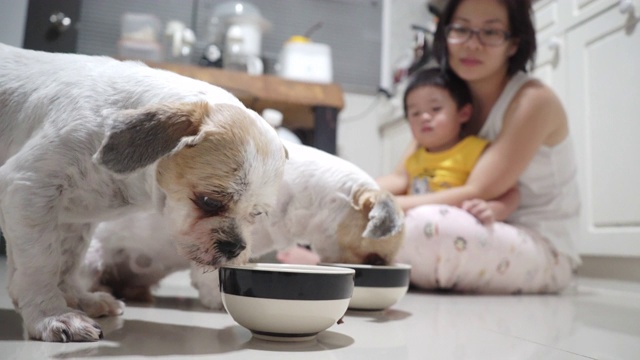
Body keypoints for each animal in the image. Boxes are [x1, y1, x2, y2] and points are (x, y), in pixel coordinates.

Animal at [0, 43, 288, 342]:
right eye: (209, 201)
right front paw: (51, 315)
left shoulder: (73, 221)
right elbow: (41, 264)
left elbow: (66, 262)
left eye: (256, 214)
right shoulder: (28, 187)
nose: (236, 247)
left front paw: (77, 299)